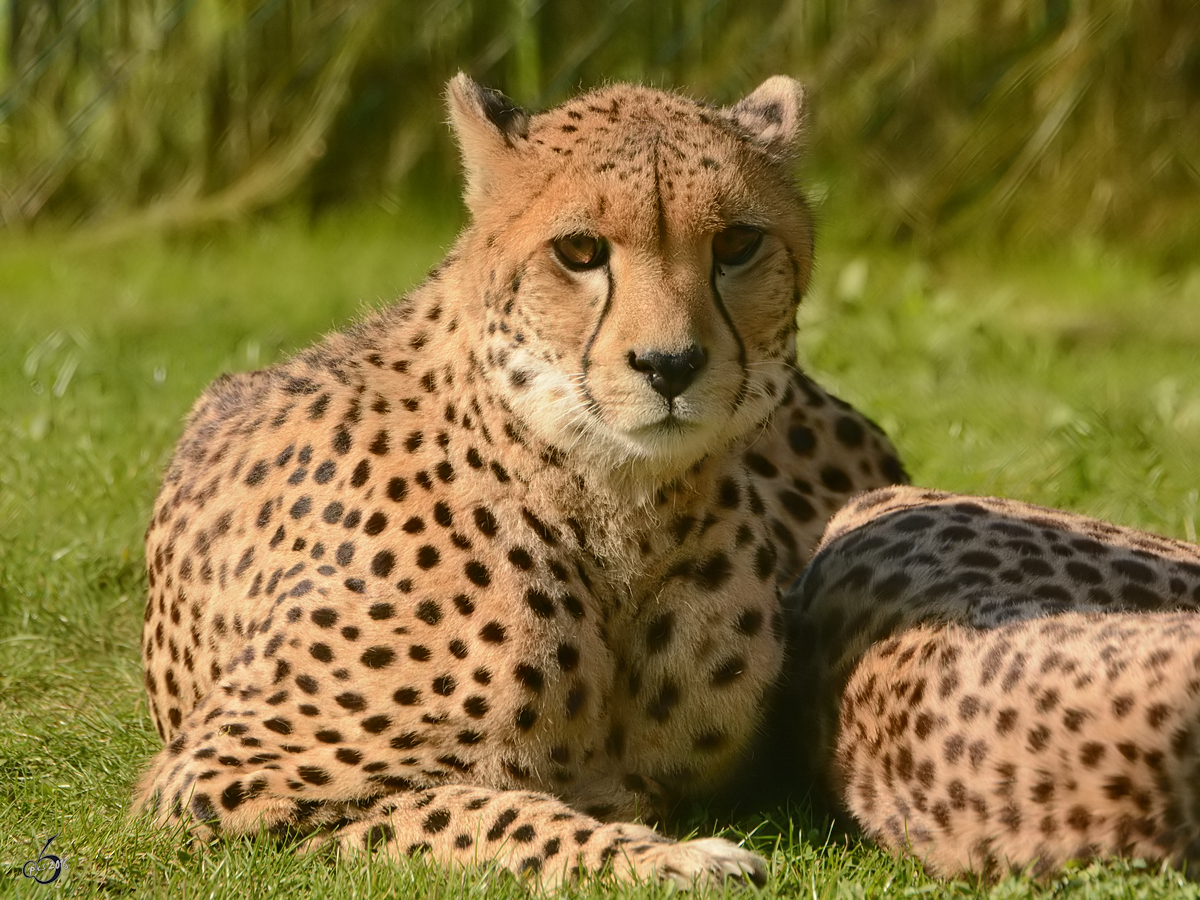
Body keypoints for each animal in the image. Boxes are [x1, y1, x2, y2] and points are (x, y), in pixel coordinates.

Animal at [136, 74, 902, 892]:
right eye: (579, 250)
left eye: (736, 243)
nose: (671, 365)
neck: (614, 506)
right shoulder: (215, 782)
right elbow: (484, 809)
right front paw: (676, 860)